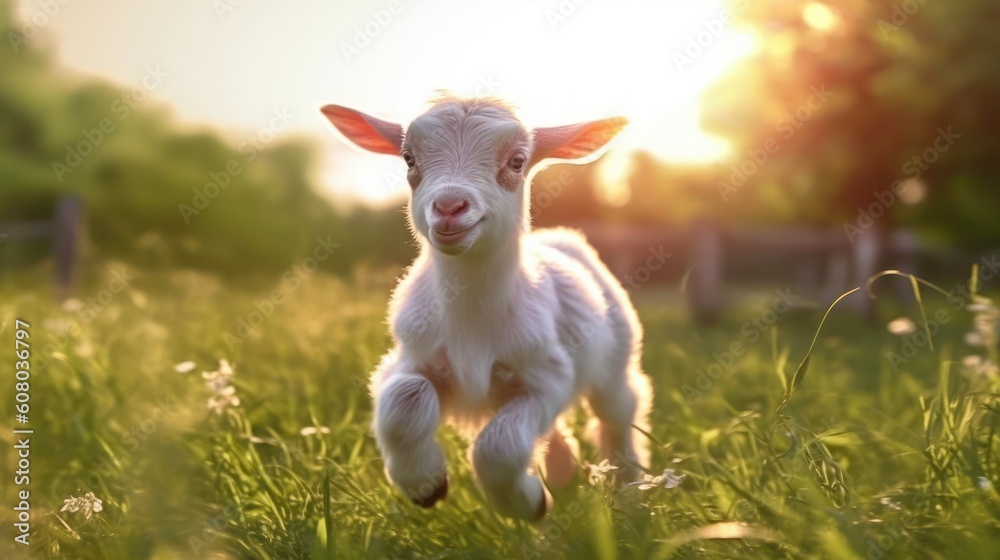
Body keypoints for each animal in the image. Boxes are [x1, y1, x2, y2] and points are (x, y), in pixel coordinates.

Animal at [322, 95, 652, 520]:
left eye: (517, 160)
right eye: (409, 158)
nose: (449, 206)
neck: (472, 323)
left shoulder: (548, 377)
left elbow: (499, 447)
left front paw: (527, 502)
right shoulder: (407, 358)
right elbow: (405, 400)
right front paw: (426, 485)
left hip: (618, 361)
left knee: (618, 420)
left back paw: (630, 500)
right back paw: (564, 478)